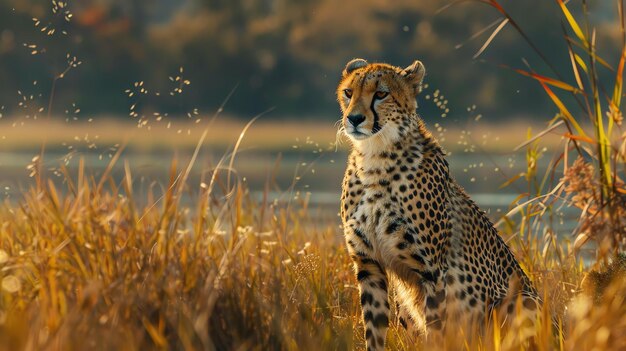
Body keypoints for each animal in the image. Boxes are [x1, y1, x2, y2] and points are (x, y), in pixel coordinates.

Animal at [334, 59, 544, 350]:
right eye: (348, 92)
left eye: (381, 94)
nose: (354, 119)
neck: (375, 157)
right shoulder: (368, 265)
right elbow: (373, 334)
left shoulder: (431, 272)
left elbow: (436, 331)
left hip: (520, 300)